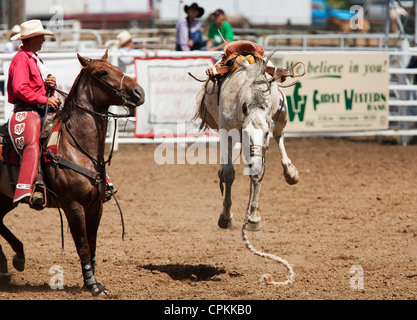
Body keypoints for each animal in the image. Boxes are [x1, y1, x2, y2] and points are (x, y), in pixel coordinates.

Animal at [0, 50, 145, 298]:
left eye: (117, 67)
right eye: (102, 72)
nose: (139, 92)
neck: (76, 146)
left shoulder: (96, 206)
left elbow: (92, 244)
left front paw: (92, 281)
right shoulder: (73, 205)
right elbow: (83, 244)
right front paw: (93, 285)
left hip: (5, 198)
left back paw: (15, 257)